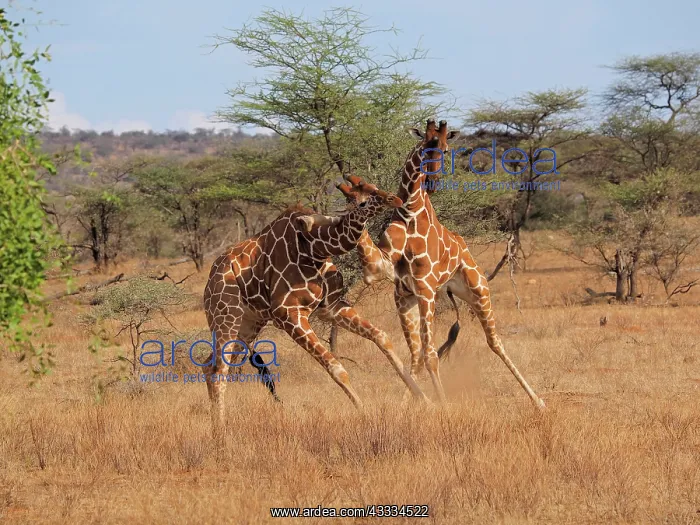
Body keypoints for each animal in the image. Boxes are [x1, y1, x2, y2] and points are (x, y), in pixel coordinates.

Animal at [203, 176, 427, 434]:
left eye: (373, 186)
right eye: (360, 202)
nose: (395, 199)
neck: (313, 249)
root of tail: (209, 283)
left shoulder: (332, 307)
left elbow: (382, 337)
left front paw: (425, 400)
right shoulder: (288, 315)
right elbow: (337, 368)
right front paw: (365, 413)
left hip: (248, 324)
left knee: (210, 366)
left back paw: (216, 425)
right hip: (226, 317)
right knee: (219, 371)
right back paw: (220, 433)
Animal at [301, 119, 546, 409]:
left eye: (445, 149)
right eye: (426, 147)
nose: (433, 182)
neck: (410, 212)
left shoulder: (425, 287)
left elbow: (432, 355)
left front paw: (444, 407)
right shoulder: (392, 278)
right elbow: (421, 354)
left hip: (477, 289)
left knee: (494, 342)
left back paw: (538, 401)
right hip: (413, 300)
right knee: (416, 354)